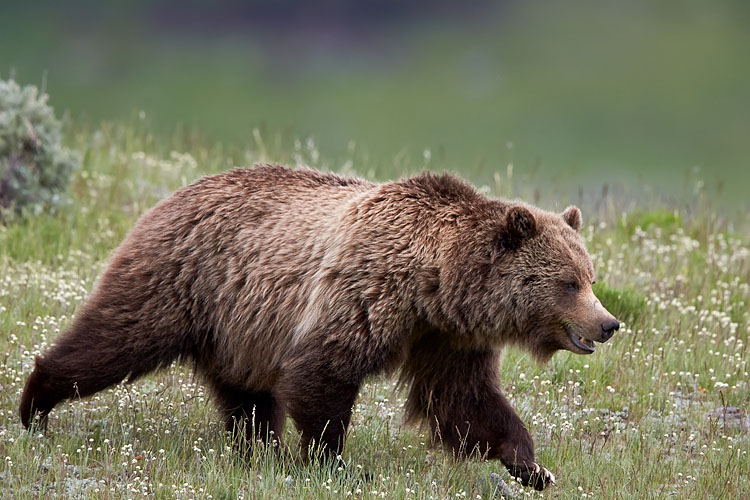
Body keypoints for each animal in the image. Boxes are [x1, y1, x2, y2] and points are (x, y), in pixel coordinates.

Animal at [20, 164, 619, 490]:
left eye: (590, 275)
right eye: (569, 281)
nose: (609, 322)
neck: (434, 284)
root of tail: (176, 193)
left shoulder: (445, 338)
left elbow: (464, 400)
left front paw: (530, 466)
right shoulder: (366, 292)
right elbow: (322, 372)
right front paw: (336, 463)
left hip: (239, 326)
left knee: (244, 394)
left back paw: (256, 448)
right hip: (178, 282)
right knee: (112, 340)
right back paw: (35, 403)